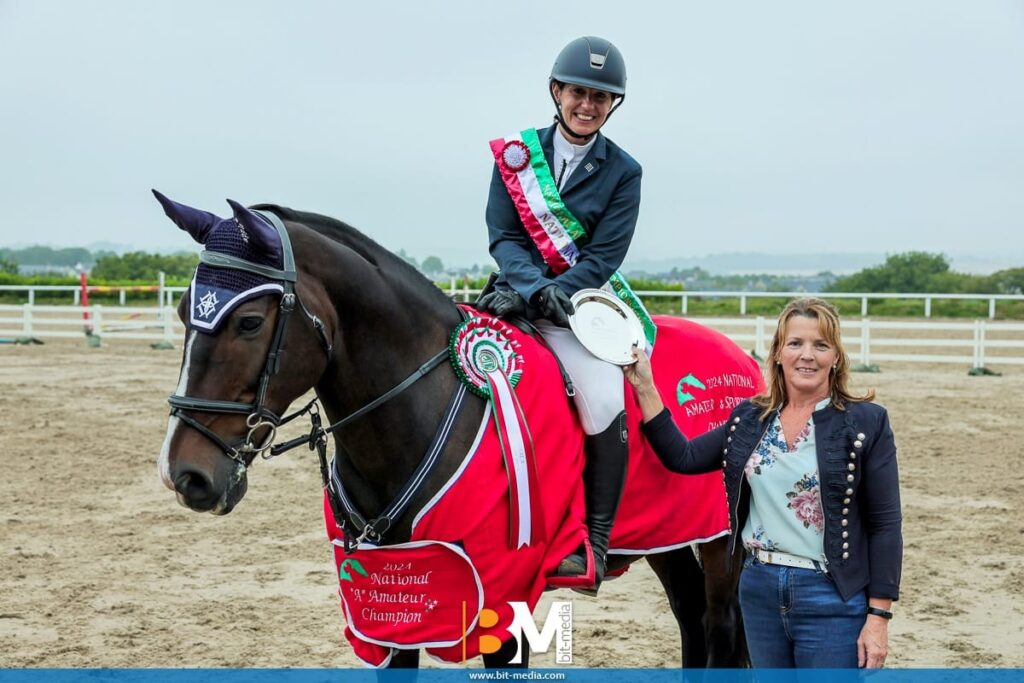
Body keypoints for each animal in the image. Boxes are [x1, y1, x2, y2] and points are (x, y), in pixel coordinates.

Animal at [155, 191, 753, 667]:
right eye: (183, 311)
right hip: (667, 535)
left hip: (720, 540)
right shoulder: (390, 602)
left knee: (719, 623)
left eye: (249, 322)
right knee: (689, 612)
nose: (185, 475)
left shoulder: (503, 596)